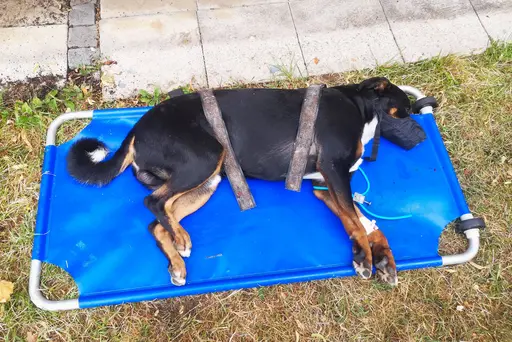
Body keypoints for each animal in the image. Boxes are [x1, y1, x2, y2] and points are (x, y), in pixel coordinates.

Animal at [67, 77, 412, 286]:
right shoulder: (334, 170)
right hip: (206, 157)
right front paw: (365, 256)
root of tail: (136, 128)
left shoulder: (325, 185)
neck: (359, 106)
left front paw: (380, 255)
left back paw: (176, 259)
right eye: (405, 105)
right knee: (153, 202)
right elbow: (357, 221)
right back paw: (181, 240)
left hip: (207, 181)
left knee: (158, 220)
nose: (417, 112)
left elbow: (360, 221)